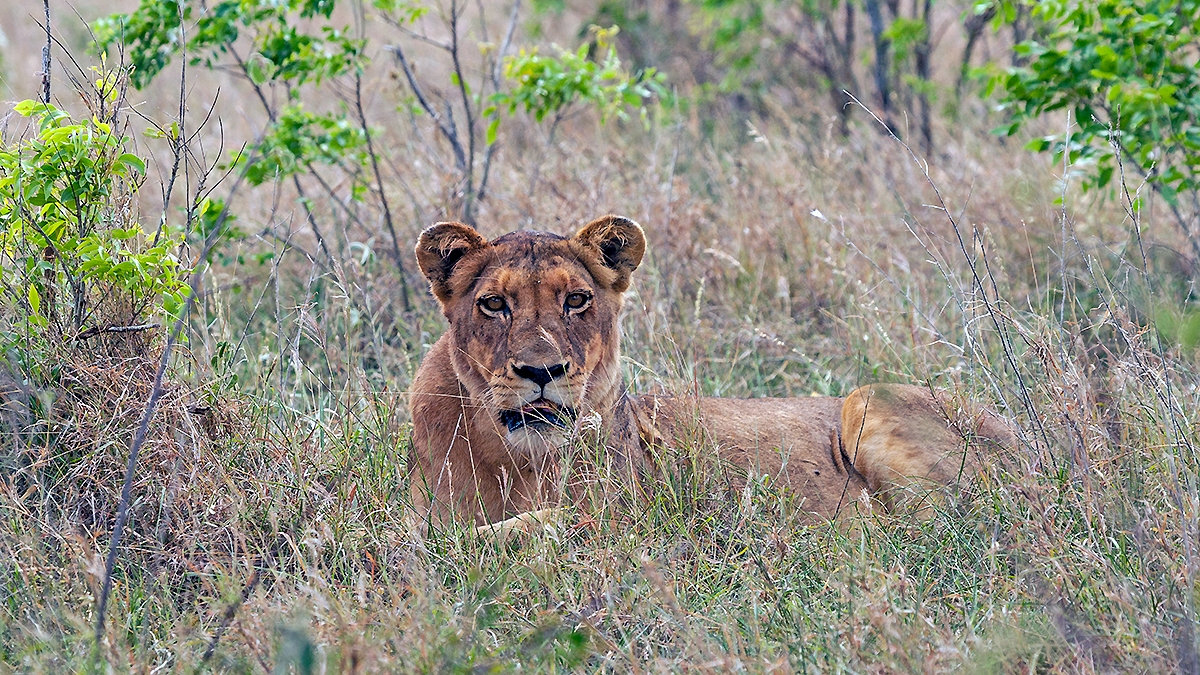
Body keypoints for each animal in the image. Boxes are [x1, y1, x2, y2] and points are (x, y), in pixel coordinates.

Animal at [408, 215, 1015, 528]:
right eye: (493, 305)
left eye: (577, 300)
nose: (543, 370)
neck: (515, 459)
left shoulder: (625, 524)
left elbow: (509, 534)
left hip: (866, 401)